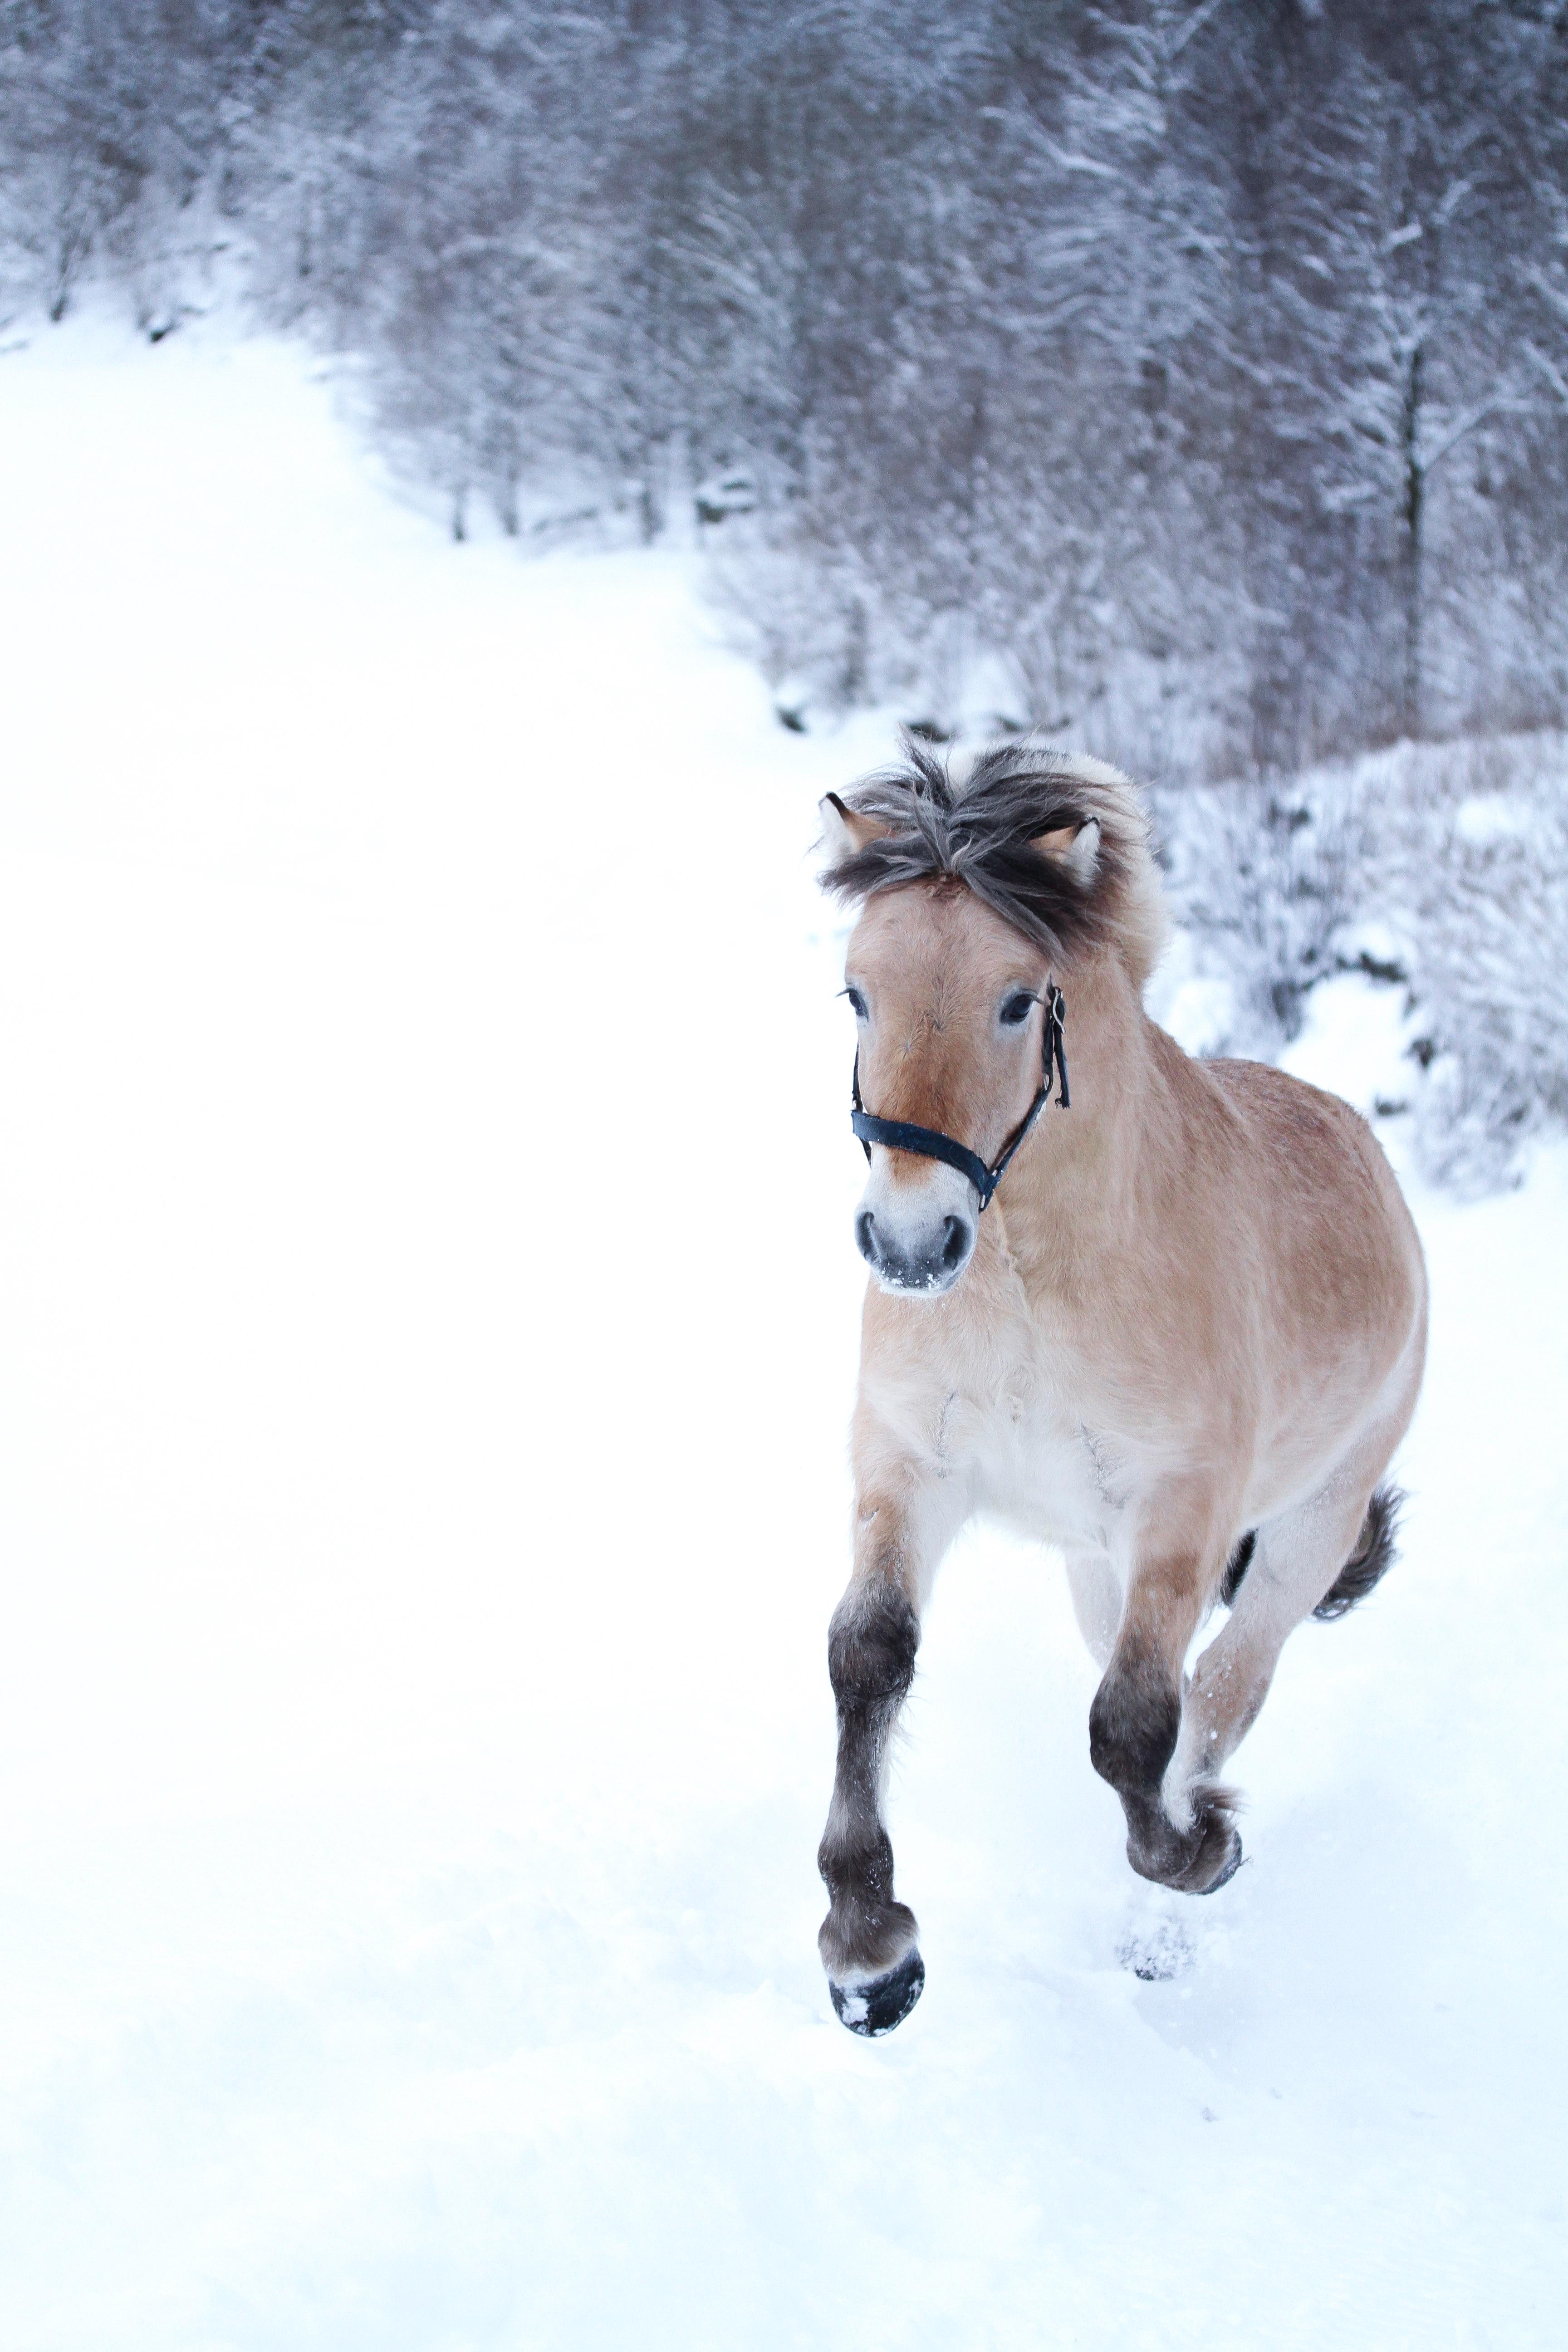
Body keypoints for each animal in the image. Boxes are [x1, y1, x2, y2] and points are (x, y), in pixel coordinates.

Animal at [813, 738, 1427, 2036]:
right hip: (1093, 1565)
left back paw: (1168, 1914)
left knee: (1222, 1691)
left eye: (1014, 999)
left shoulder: (1181, 1511)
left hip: (1305, 1533)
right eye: (856, 993)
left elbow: (1134, 1727)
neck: (1030, 1286)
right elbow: (869, 1657)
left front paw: (1199, 1853)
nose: (910, 1244)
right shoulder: (907, 1466)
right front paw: (870, 1952)